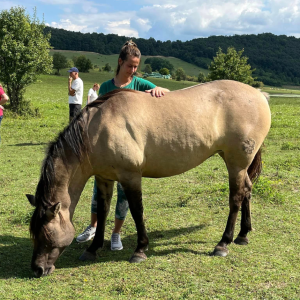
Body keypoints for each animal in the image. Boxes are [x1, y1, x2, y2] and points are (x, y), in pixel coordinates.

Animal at [26, 79, 272, 276]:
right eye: (33, 234)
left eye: (46, 235)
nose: (37, 269)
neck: (97, 129)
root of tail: (259, 94)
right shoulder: (104, 178)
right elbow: (103, 211)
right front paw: (93, 248)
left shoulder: (131, 177)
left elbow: (137, 211)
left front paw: (140, 249)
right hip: (239, 166)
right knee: (247, 190)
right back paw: (243, 235)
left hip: (236, 164)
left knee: (236, 198)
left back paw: (223, 243)